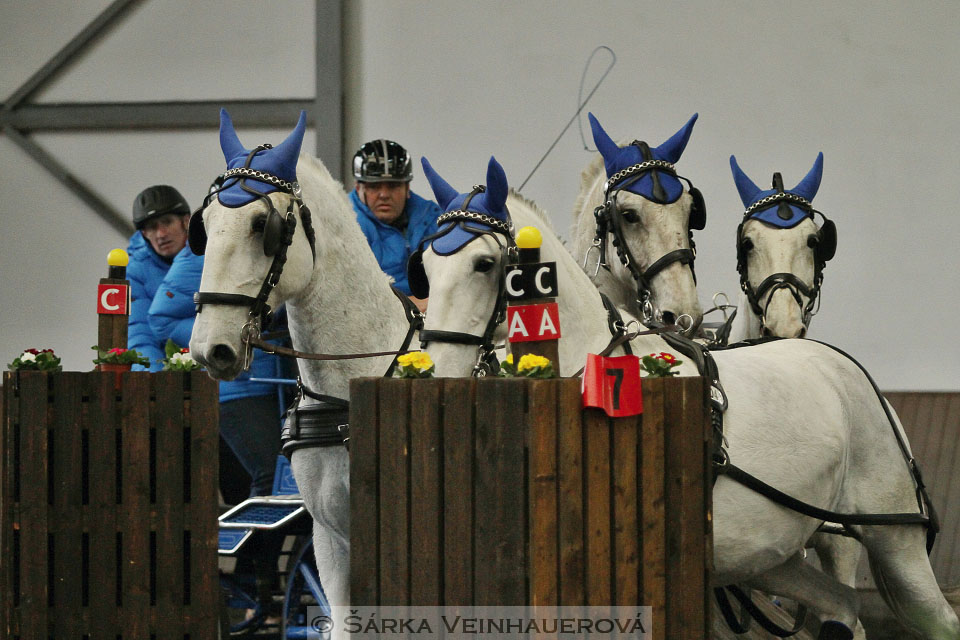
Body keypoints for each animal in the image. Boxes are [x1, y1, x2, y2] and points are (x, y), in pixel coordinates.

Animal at [416, 156, 956, 640]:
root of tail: (842, 366)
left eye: (485, 263)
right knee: (842, 608)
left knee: (937, 620)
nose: (438, 368)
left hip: (892, 535)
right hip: (770, 557)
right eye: (423, 266)